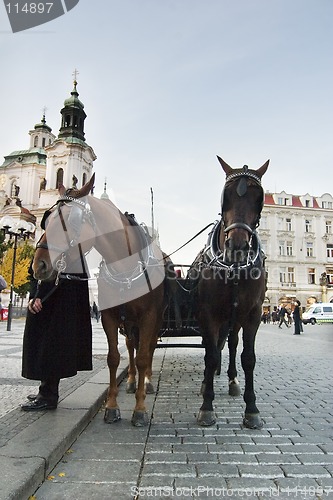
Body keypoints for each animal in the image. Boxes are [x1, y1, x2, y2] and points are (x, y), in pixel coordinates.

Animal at [31, 175, 171, 426]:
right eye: (46, 221)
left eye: (68, 222)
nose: (39, 266)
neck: (126, 265)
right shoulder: (109, 317)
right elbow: (114, 358)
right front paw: (112, 407)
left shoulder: (149, 317)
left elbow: (144, 356)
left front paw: (140, 409)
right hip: (129, 322)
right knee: (131, 346)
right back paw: (132, 381)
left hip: (154, 320)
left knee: (149, 348)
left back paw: (146, 381)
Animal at [192, 157, 268, 430]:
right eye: (226, 196)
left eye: (258, 198)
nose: (237, 247)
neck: (234, 268)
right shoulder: (207, 314)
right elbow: (212, 356)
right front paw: (206, 406)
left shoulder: (254, 314)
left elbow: (248, 358)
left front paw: (252, 409)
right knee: (212, 348)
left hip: (235, 319)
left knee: (233, 344)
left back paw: (233, 381)